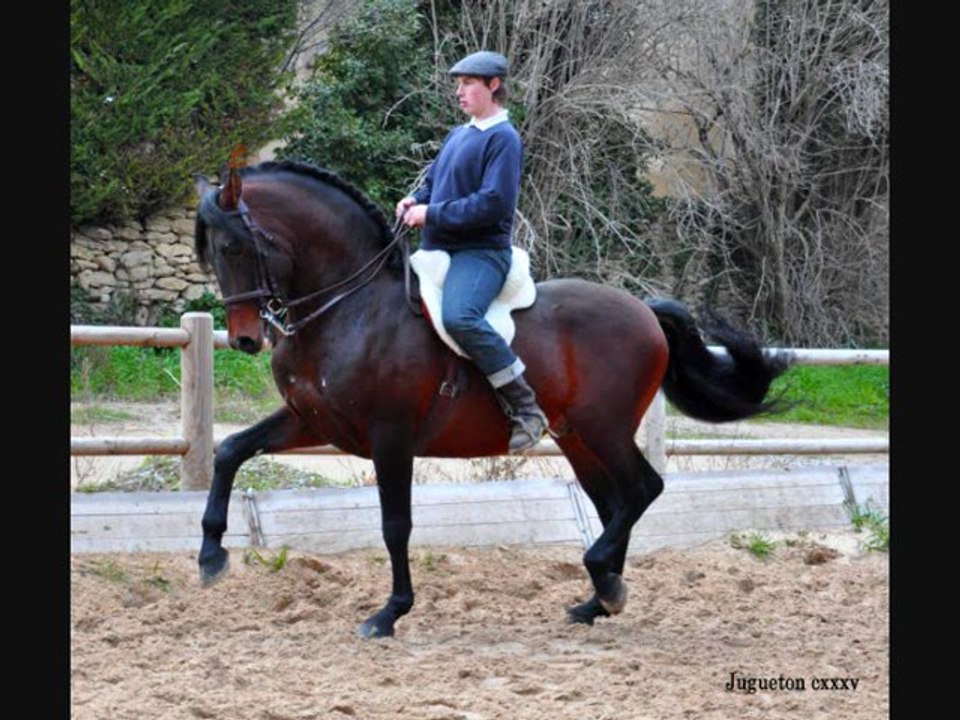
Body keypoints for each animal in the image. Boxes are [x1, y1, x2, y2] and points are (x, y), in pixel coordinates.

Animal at [192, 159, 790, 638]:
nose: (245, 339)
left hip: (605, 428)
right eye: (211, 255)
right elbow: (230, 451)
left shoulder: (391, 438)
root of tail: (643, 309)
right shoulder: (313, 422)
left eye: (235, 246)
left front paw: (389, 613)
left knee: (644, 489)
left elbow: (395, 524)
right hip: (577, 437)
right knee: (615, 502)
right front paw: (211, 555)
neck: (348, 307)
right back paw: (598, 599)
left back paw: (601, 579)